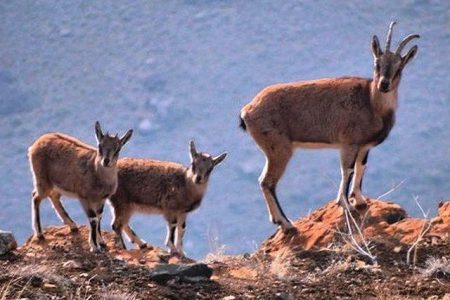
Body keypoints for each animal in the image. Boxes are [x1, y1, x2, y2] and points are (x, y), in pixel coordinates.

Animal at [28, 121, 132, 251]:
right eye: (100, 146)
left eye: (117, 149)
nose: (106, 161)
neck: (97, 174)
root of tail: (35, 144)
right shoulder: (84, 198)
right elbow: (93, 219)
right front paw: (94, 246)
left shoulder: (101, 200)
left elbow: (99, 217)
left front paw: (102, 242)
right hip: (42, 179)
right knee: (36, 197)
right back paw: (40, 234)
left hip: (57, 184)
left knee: (53, 197)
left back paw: (72, 225)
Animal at [241, 21, 420, 232]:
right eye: (377, 63)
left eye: (399, 67)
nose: (383, 84)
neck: (371, 102)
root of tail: (247, 110)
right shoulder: (349, 143)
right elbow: (347, 170)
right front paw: (346, 205)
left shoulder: (363, 146)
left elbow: (361, 168)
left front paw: (359, 201)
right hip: (278, 149)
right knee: (267, 182)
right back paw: (287, 223)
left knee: (264, 181)